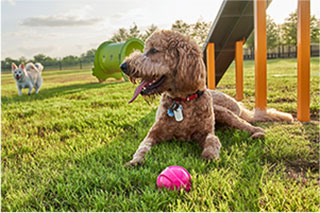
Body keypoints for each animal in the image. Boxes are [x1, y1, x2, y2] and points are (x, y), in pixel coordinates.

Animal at [120, 30, 292, 166]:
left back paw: (257, 134)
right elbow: (142, 146)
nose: (123, 66)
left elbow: (213, 140)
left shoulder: (205, 132)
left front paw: (210, 155)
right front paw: (135, 160)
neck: (182, 102)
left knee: (251, 126)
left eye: (154, 50)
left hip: (226, 114)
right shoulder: (153, 133)